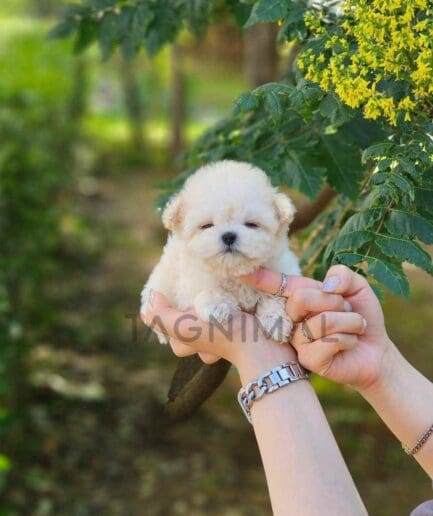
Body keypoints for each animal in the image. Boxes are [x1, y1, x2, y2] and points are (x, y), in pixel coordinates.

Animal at [140, 160, 298, 346]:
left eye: (251, 224)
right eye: (207, 226)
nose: (228, 236)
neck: (233, 272)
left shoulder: (282, 267)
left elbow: (272, 296)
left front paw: (276, 321)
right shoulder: (190, 283)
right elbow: (209, 288)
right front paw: (218, 305)